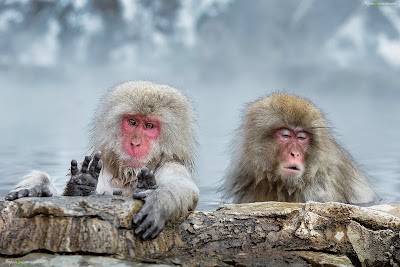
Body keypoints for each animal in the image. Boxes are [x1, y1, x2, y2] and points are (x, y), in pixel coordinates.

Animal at [5, 80, 199, 240]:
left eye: (149, 126)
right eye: (132, 122)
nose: (135, 143)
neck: (128, 175)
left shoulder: (172, 165)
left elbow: (185, 188)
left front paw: (160, 200)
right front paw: (42, 188)